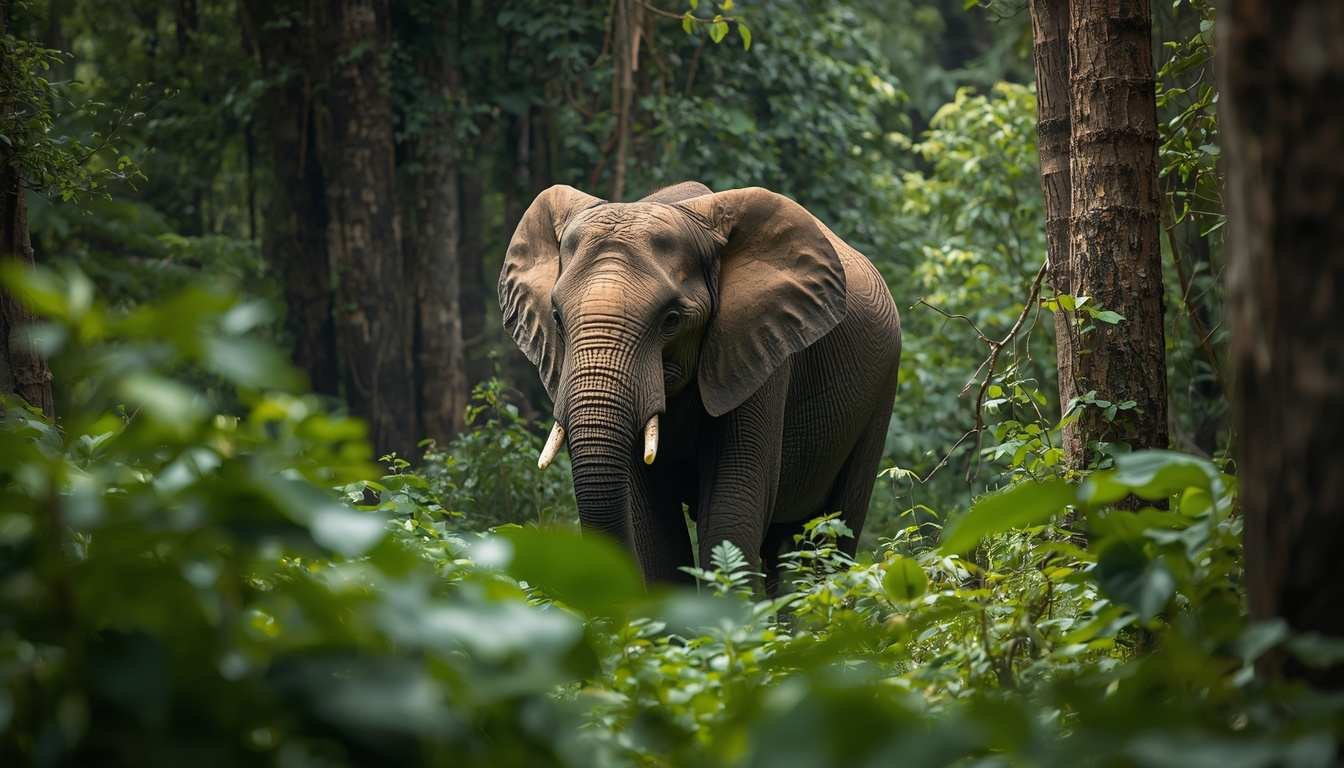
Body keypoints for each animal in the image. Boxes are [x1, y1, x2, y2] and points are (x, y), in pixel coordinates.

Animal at [499, 181, 901, 588]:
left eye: (671, 319)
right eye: (556, 317)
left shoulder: (758, 351)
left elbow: (732, 507)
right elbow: (653, 527)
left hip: (883, 390)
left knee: (833, 533)